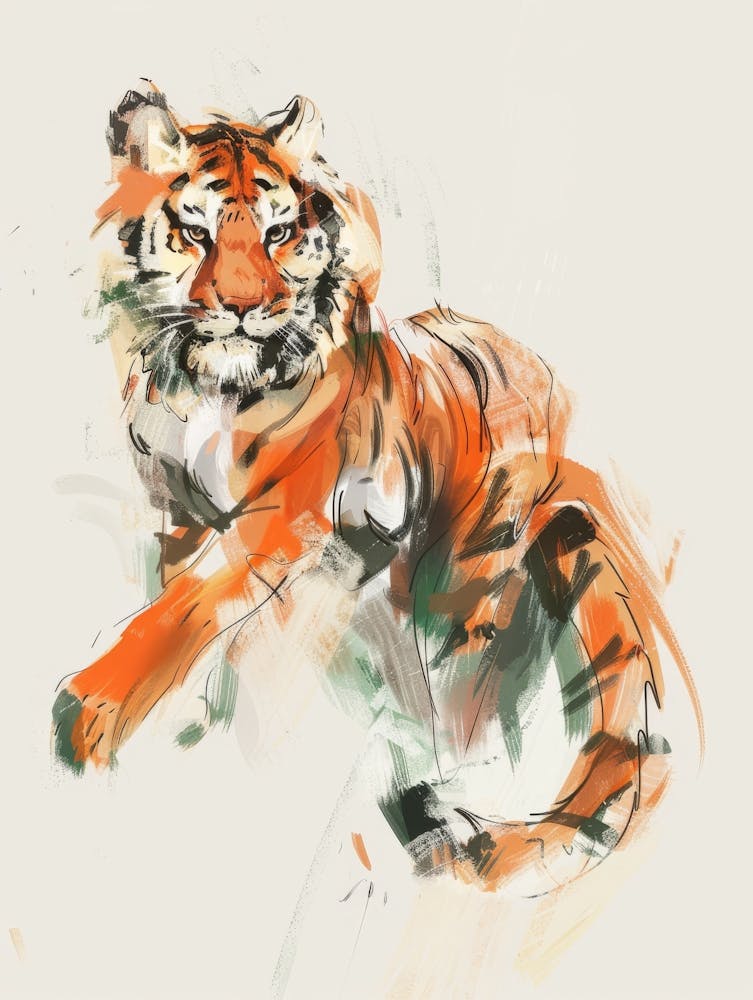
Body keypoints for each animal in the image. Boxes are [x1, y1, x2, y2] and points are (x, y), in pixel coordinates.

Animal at [52, 80, 703, 893]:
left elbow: (188, 603)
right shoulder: (179, 511)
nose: (243, 308)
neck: (208, 386)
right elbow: (182, 602)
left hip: (467, 574)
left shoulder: (281, 513)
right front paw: (192, 714)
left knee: (465, 684)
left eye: (278, 233)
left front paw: (91, 713)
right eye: (195, 232)